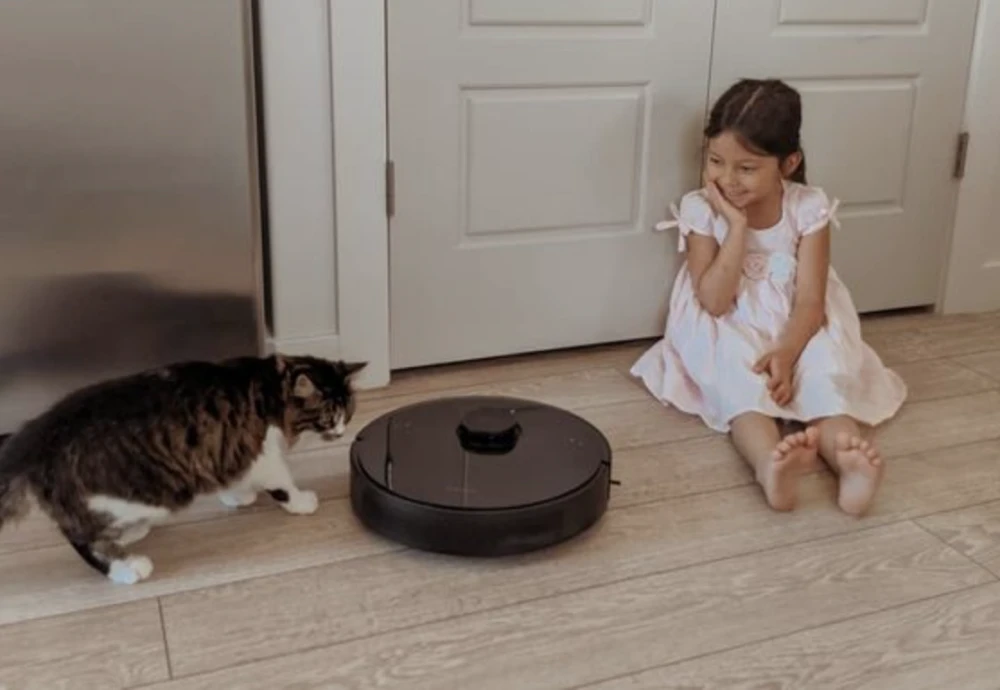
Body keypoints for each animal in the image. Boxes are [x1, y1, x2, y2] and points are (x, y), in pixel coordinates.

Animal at [0, 352, 366, 584]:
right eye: (329, 417)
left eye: (347, 414)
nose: (340, 433)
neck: (271, 388)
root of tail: (37, 435)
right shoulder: (266, 455)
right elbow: (283, 483)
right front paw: (301, 502)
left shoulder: (233, 447)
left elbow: (235, 476)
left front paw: (238, 497)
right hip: (133, 497)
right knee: (82, 538)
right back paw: (127, 568)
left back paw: (132, 534)